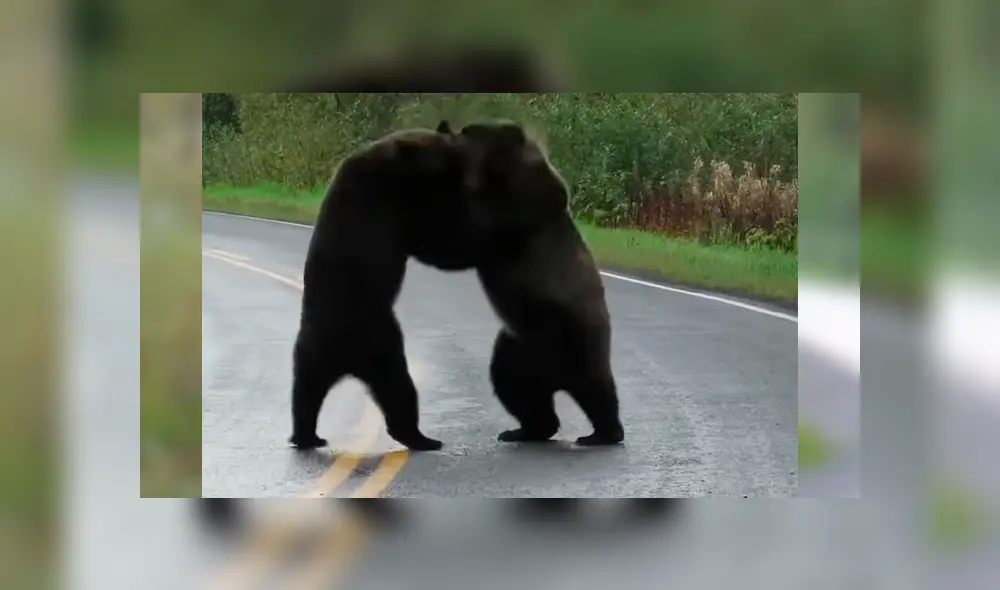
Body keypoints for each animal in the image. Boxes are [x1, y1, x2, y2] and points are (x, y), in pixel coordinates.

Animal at [289, 120, 487, 452]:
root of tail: (343, 357)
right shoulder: (394, 199)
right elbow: (434, 238)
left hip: (310, 353)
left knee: (305, 393)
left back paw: (306, 436)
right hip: (382, 343)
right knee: (399, 388)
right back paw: (423, 438)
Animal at [456, 120, 626, 446]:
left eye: (476, 130)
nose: (460, 129)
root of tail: (555, 378)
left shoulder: (522, 211)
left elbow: (480, 228)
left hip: (575, 336)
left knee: (596, 388)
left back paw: (603, 433)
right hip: (517, 347)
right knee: (515, 387)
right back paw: (523, 430)